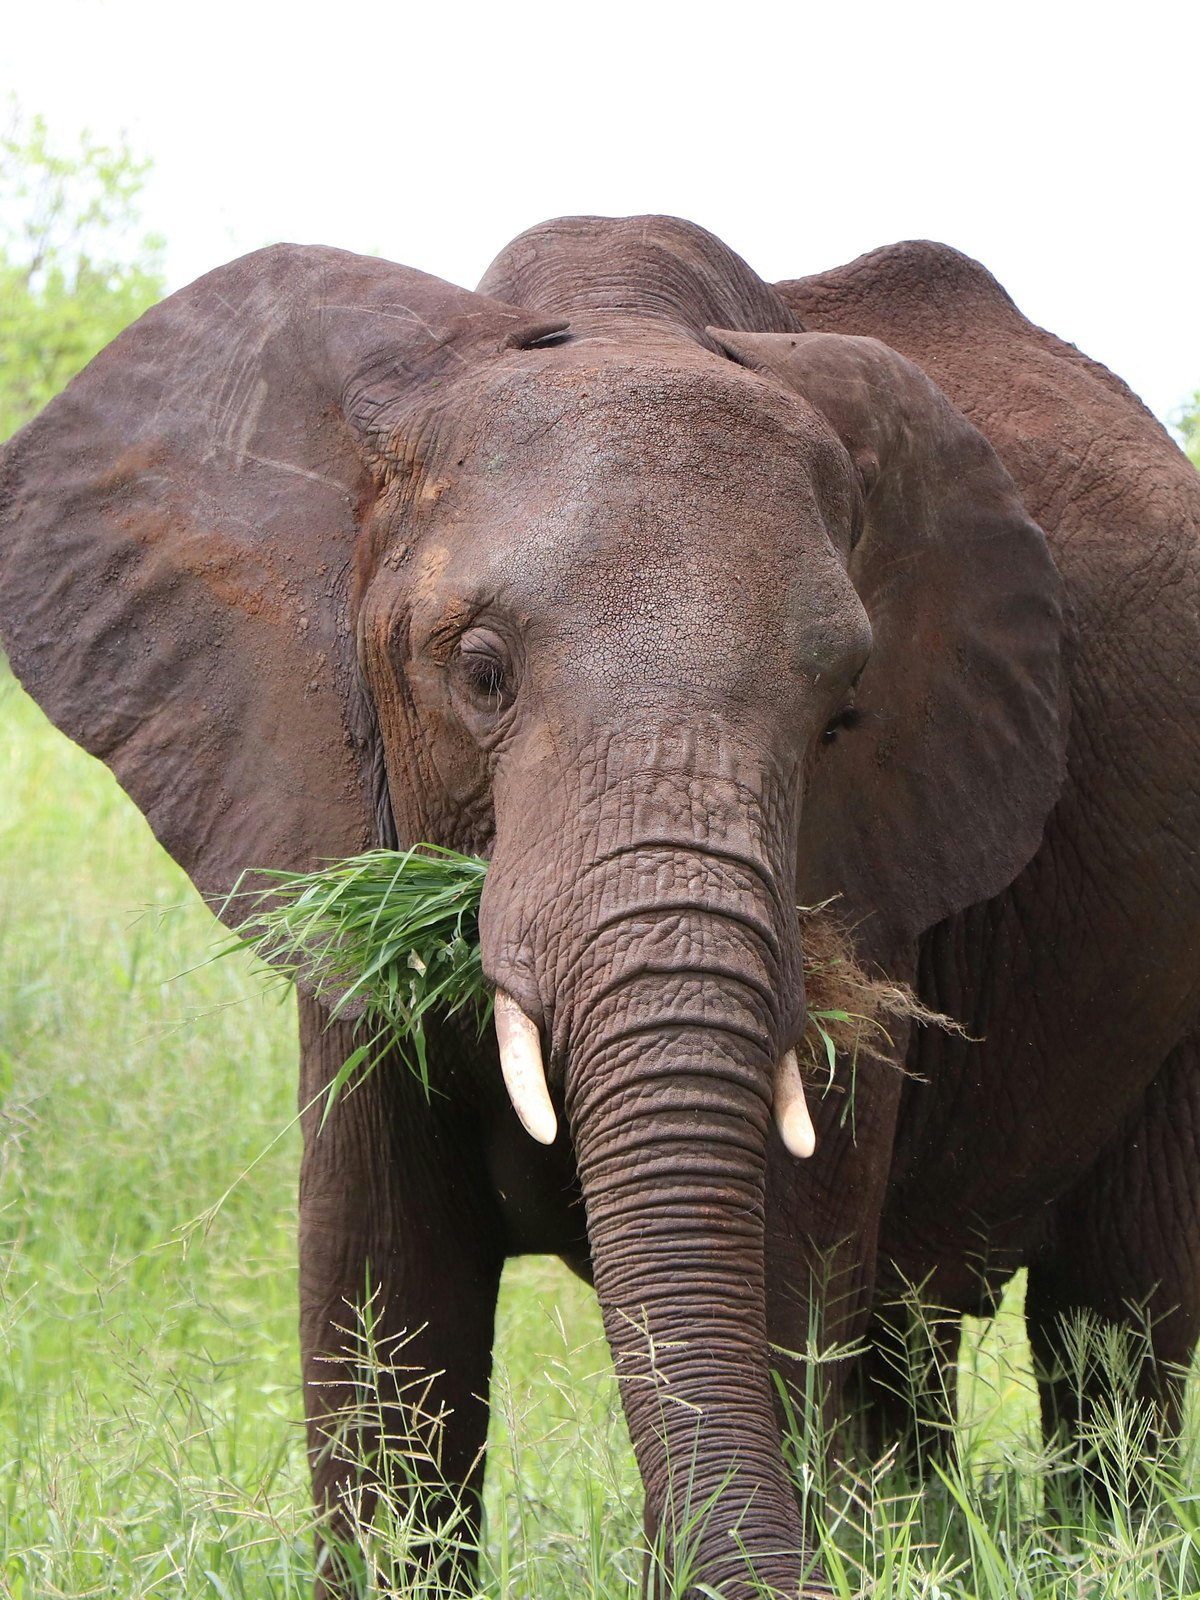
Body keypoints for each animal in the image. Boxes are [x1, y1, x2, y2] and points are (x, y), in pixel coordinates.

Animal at [1, 211, 1198, 1599]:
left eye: (842, 713)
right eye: (478, 674)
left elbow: (773, 1292)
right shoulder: (332, 821)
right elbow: (382, 1314)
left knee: (1114, 1323)